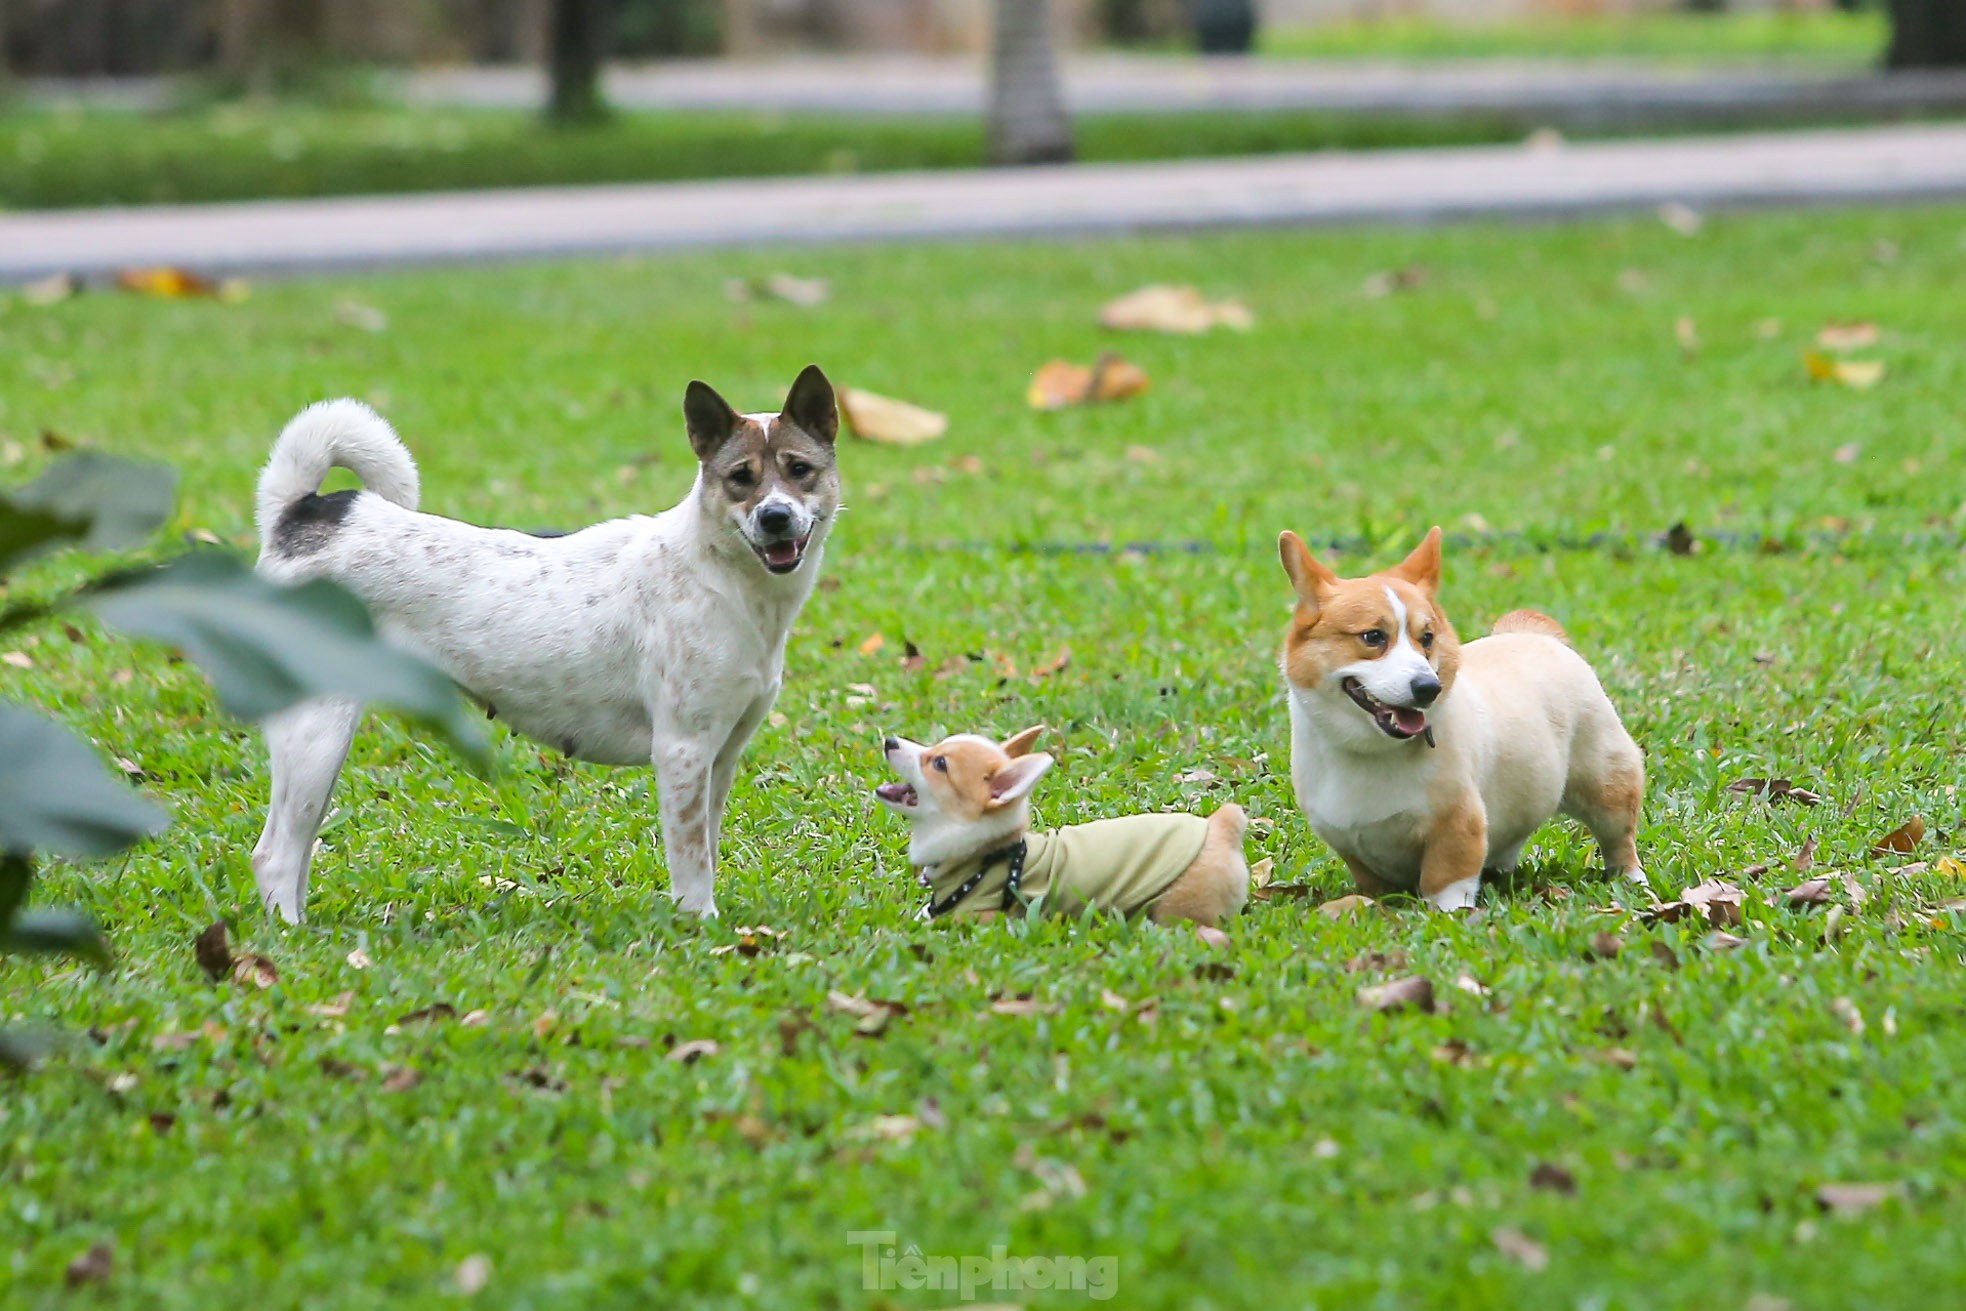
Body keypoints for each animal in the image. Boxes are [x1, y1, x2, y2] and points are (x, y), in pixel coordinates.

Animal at [249, 367, 841, 923]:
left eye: (799, 470)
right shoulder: (682, 750)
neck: (721, 576)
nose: (775, 517)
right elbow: (691, 859)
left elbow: (708, 850)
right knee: (275, 854)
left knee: (297, 848)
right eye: (741, 477)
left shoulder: (721, 755)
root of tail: (301, 514)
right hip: (317, 732)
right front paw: (700, 924)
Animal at [1273, 526, 1643, 912]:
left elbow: (1447, 879)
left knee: (1619, 838)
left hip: (1606, 783)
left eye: (1427, 638)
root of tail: (1533, 633)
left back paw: (1632, 880)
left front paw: (1450, 914)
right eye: (1373, 637)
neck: (1370, 752)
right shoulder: (1351, 846)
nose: (1428, 687)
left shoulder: (1458, 825)